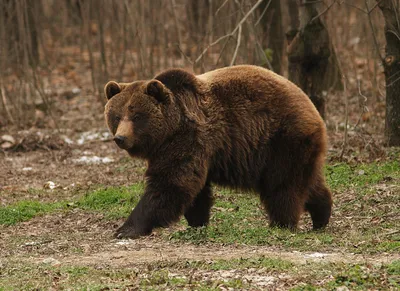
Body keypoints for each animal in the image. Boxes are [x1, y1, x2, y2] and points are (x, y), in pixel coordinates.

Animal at [103, 65, 332, 240]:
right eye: (116, 116)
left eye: (136, 116)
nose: (120, 138)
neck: (169, 130)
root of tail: (312, 108)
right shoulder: (192, 150)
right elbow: (195, 190)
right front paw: (197, 222)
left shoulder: (188, 139)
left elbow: (171, 183)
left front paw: (126, 228)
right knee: (309, 183)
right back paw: (321, 216)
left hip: (281, 140)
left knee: (282, 186)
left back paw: (282, 223)